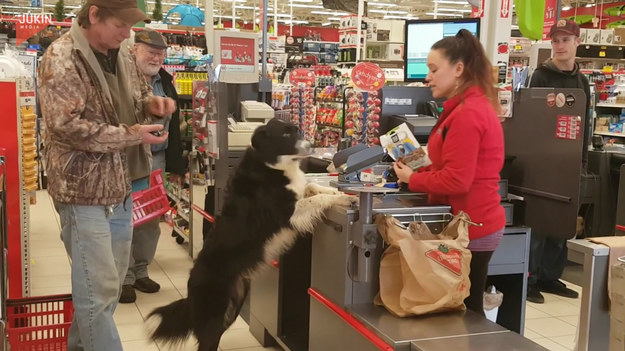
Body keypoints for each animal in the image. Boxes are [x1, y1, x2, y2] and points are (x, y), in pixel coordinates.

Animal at [147, 119, 358, 350]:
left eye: (296, 130)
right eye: (285, 135)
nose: (312, 145)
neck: (272, 166)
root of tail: (190, 285)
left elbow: (311, 186)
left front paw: (340, 194)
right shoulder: (287, 214)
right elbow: (314, 199)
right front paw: (342, 199)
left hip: (233, 306)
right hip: (214, 314)